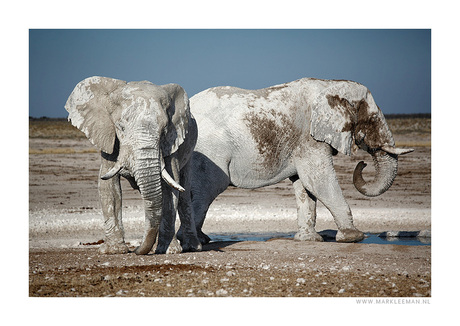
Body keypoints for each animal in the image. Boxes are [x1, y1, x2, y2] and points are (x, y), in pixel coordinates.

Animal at [64, 76, 201, 255]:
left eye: (164, 131)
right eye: (120, 127)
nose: (135, 249)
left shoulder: (172, 142)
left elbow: (170, 188)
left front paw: (167, 250)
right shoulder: (108, 136)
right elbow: (109, 186)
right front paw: (113, 251)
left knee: (183, 192)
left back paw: (192, 247)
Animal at [185, 77, 416, 243]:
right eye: (372, 120)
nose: (363, 163)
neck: (331, 85)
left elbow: (304, 186)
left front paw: (309, 239)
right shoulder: (309, 139)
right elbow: (318, 180)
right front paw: (354, 237)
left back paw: (201, 239)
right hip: (210, 150)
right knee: (208, 190)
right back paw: (198, 242)